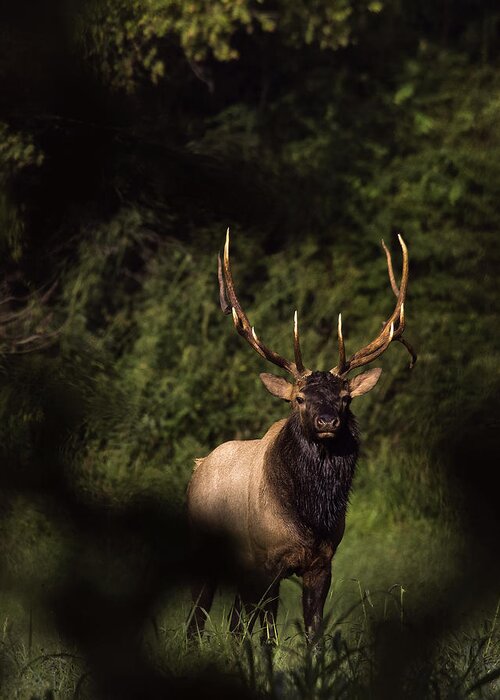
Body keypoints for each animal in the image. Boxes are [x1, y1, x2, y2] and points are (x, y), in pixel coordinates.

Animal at [187, 234, 414, 644]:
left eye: (345, 397)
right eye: (299, 398)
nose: (328, 420)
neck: (309, 519)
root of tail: (198, 466)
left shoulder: (323, 562)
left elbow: (313, 634)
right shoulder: (266, 560)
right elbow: (267, 634)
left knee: (232, 621)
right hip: (203, 551)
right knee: (198, 619)